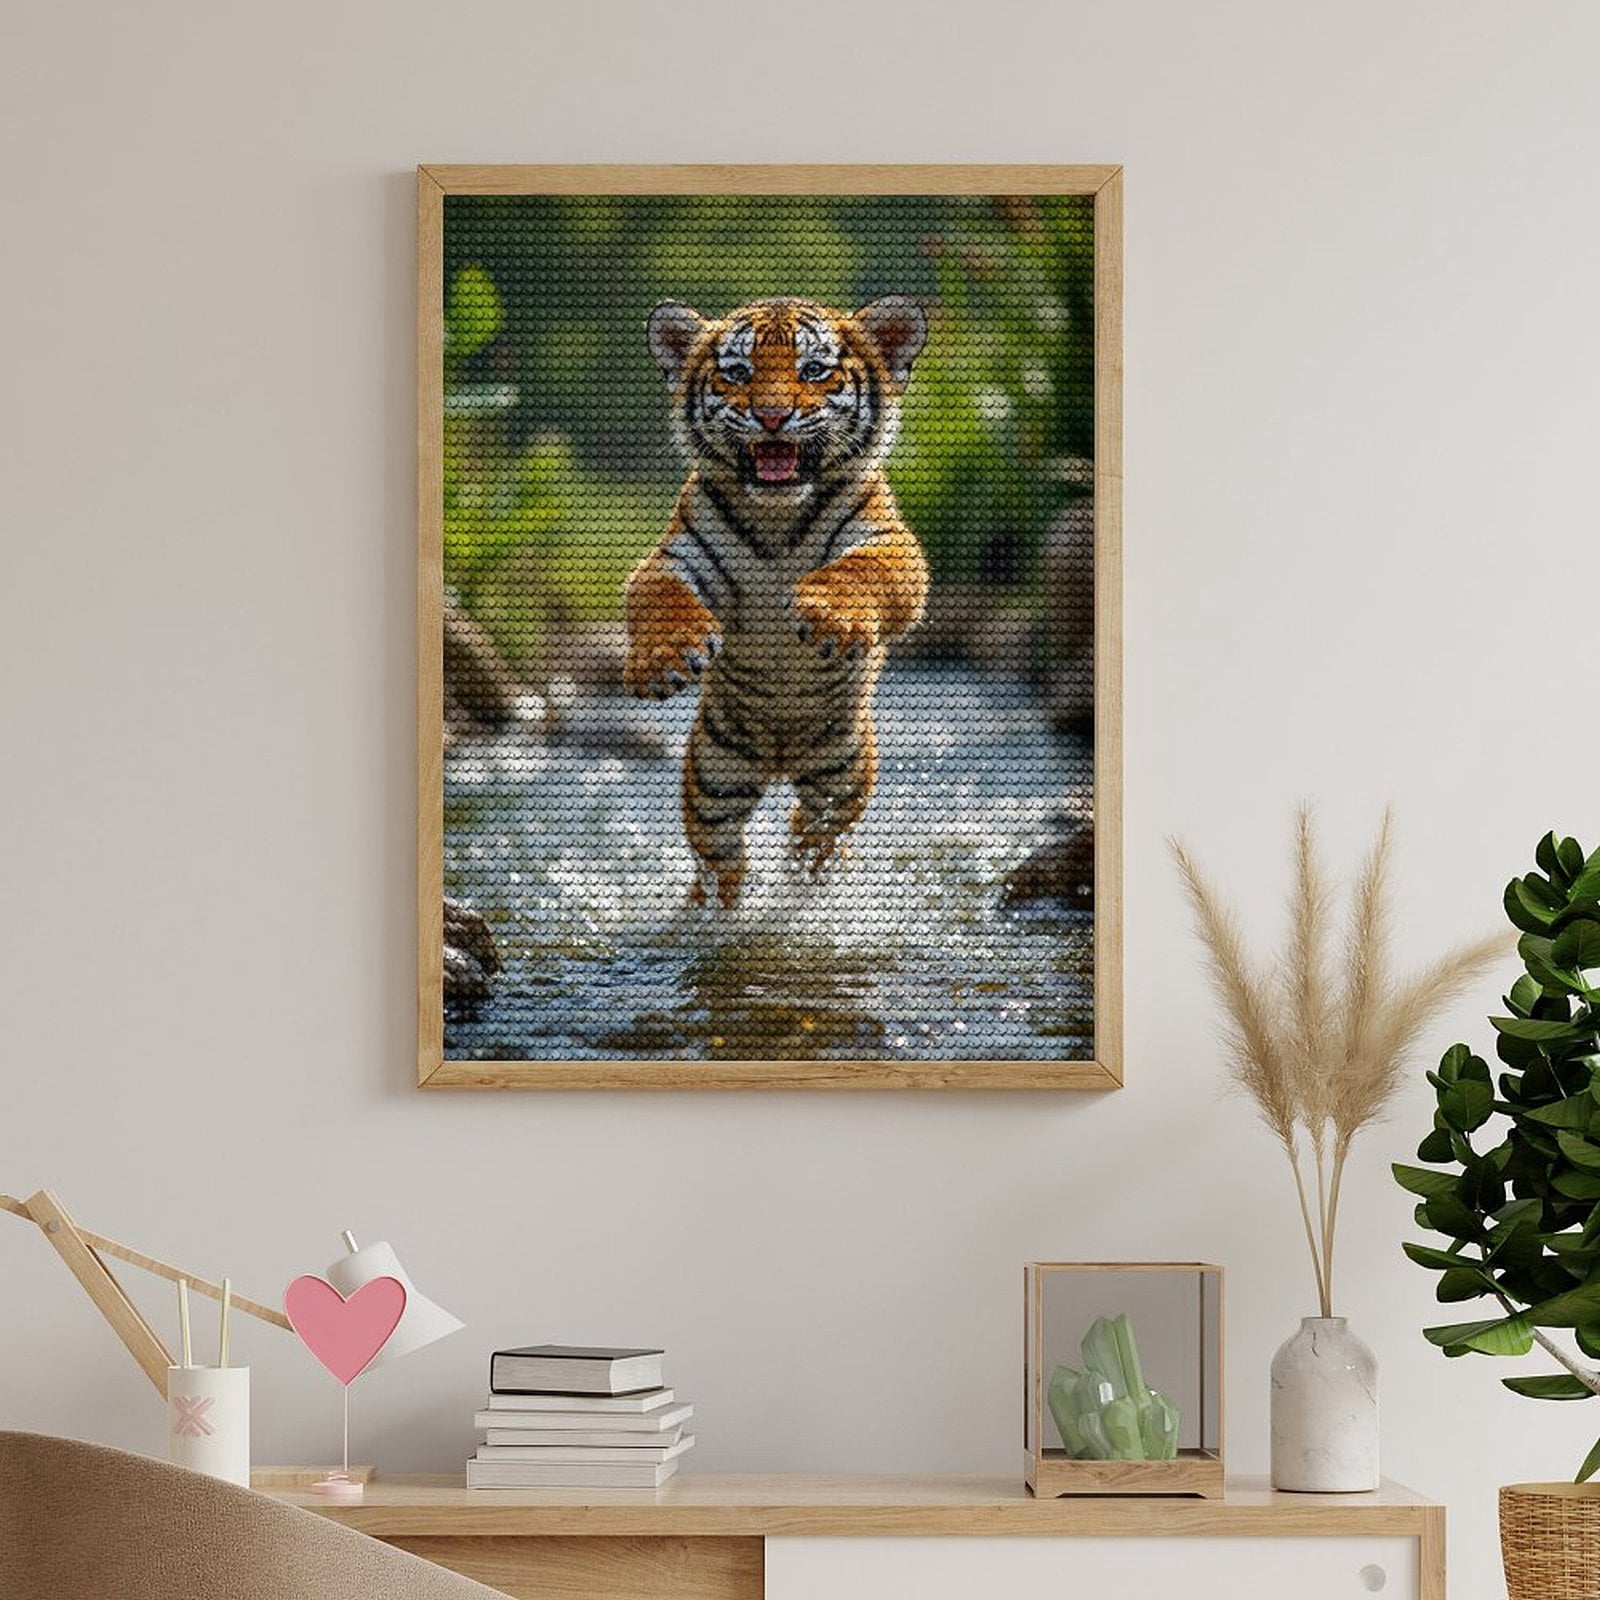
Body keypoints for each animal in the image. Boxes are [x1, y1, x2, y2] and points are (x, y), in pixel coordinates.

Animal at [623, 294, 930, 909]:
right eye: (738, 373)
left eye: (813, 371)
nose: (770, 417)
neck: (778, 517)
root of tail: (780, 758)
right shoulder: (678, 557)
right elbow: (658, 594)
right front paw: (665, 657)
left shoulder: (889, 543)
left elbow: (862, 571)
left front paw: (830, 614)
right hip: (714, 774)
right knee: (719, 854)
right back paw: (714, 910)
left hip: (844, 770)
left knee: (816, 831)